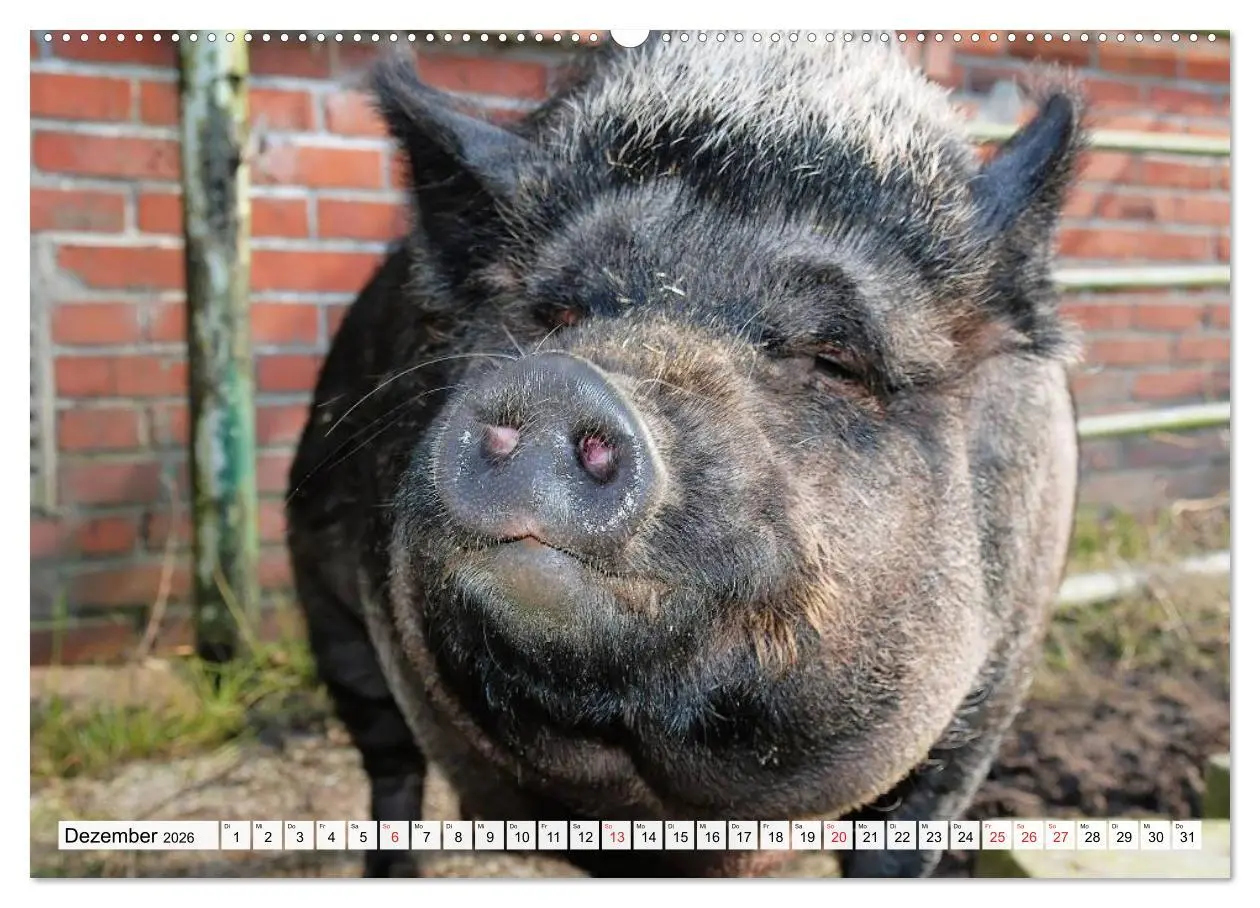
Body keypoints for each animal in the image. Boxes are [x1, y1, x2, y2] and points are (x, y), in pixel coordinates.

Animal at [286, 32, 1084, 878]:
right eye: (555, 315)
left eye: (834, 359)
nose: (559, 382)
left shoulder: (984, 709)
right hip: (326, 606)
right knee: (389, 761)